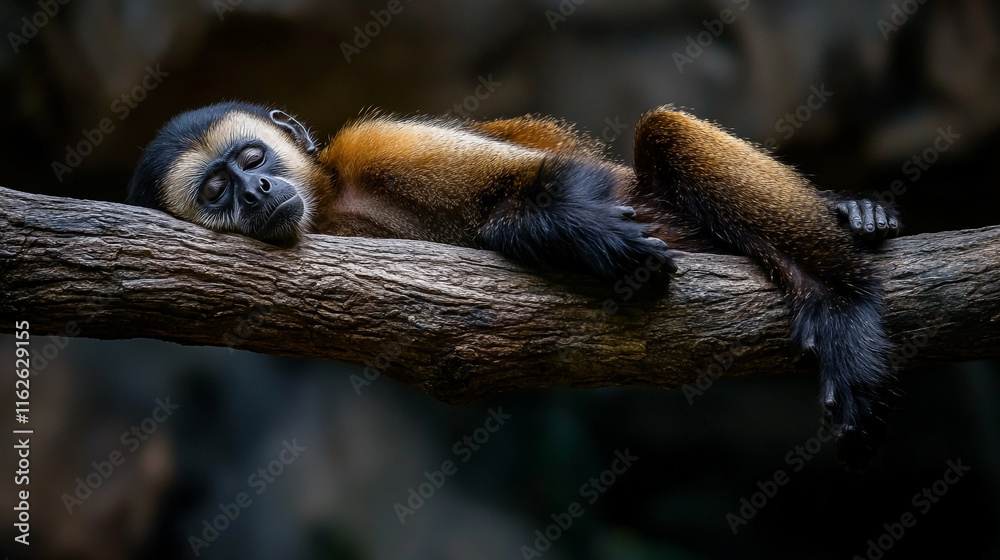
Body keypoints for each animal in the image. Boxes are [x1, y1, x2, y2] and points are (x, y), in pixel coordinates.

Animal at [126, 101, 901, 469]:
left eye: (252, 159)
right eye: (217, 191)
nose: (256, 191)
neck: (332, 207)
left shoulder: (372, 149)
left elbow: (540, 179)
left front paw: (580, 230)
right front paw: (580, 240)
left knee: (662, 135)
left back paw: (840, 295)